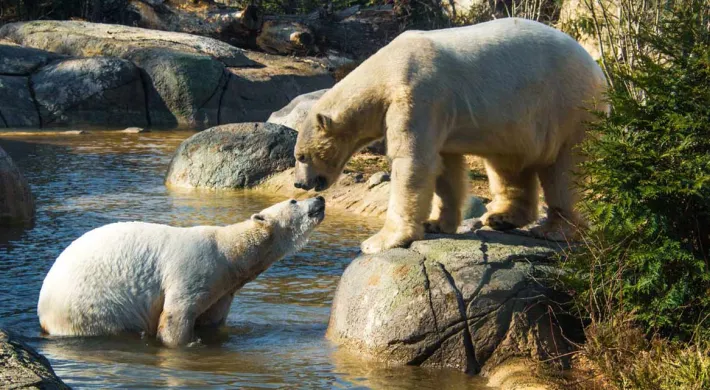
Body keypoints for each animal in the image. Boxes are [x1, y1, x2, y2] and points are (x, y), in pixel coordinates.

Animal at [37, 197, 326, 346]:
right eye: (294, 200)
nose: (320, 198)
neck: (230, 252)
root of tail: (43, 313)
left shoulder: (223, 289)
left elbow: (211, 319)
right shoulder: (197, 268)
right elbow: (177, 313)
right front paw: (186, 343)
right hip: (93, 306)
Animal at [292, 18, 608, 254]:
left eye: (301, 156)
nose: (299, 183)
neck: (386, 69)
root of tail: (598, 69)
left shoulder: (417, 96)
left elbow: (412, 162)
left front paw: (380, 241)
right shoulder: (438, 112)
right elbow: (445, 167)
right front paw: (436, 223)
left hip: (568, 105)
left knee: (564, 169)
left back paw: (556, 229)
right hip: (520, 120)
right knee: (509, 164)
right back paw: (502, 217)